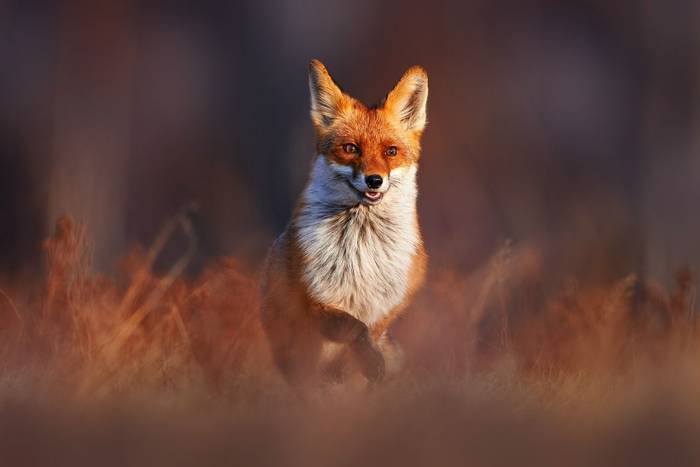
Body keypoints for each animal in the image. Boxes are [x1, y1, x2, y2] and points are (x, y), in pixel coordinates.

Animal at [260, 59, 428, 385]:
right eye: (351, 148)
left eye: (391, 151)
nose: (374, 180)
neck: (362, 253)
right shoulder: (316, 301)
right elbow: (352, 328)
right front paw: (369, 362)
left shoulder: (385, 310)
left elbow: (365, 337)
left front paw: (364, 368)